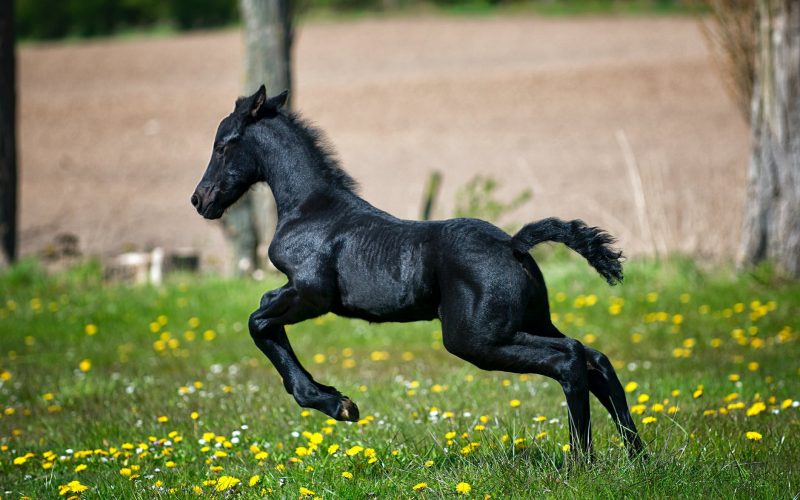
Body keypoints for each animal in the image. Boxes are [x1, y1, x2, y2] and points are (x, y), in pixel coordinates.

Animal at [189, 87, 644, 458]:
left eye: (223, 145)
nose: (199, 200)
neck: (311, 209)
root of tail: (514, 244)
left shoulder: (311, 294)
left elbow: (258, 320)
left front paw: (336, 404)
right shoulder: (297, 292)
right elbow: (264, 316)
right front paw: (334, 399)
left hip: (477, 339)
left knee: (569, 359)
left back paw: (581, 460)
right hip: (528, 322)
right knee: (594, 358)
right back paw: (636, 456)